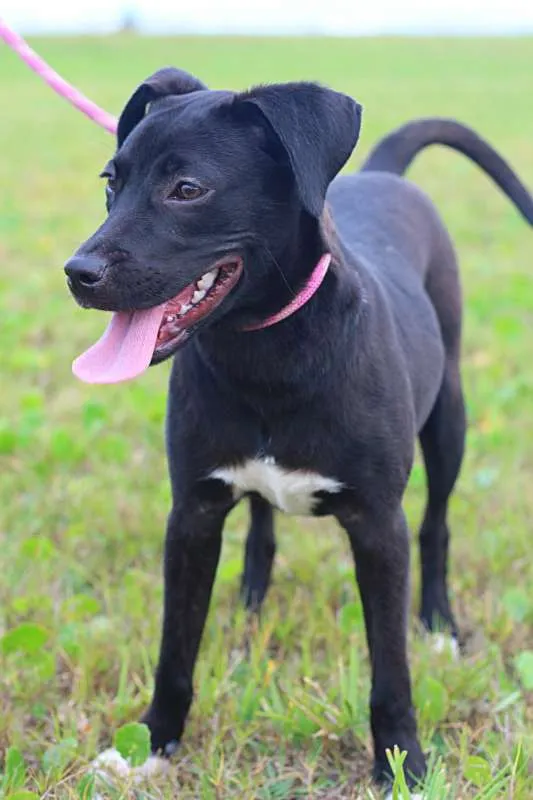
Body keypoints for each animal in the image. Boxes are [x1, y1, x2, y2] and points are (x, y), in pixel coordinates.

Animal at [64, 67, 528, 788]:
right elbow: (176, 646)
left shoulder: (378, 527)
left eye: (187, 189)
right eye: (111, 181)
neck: (266, 350)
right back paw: (250, 603)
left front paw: (401, 760)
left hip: (449, 417)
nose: (78, 274)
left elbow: (390, 666)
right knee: (261, 519)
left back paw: (439, 625)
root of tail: (380, 170)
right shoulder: (191, 514)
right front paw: (151, 743)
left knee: (437, 525)